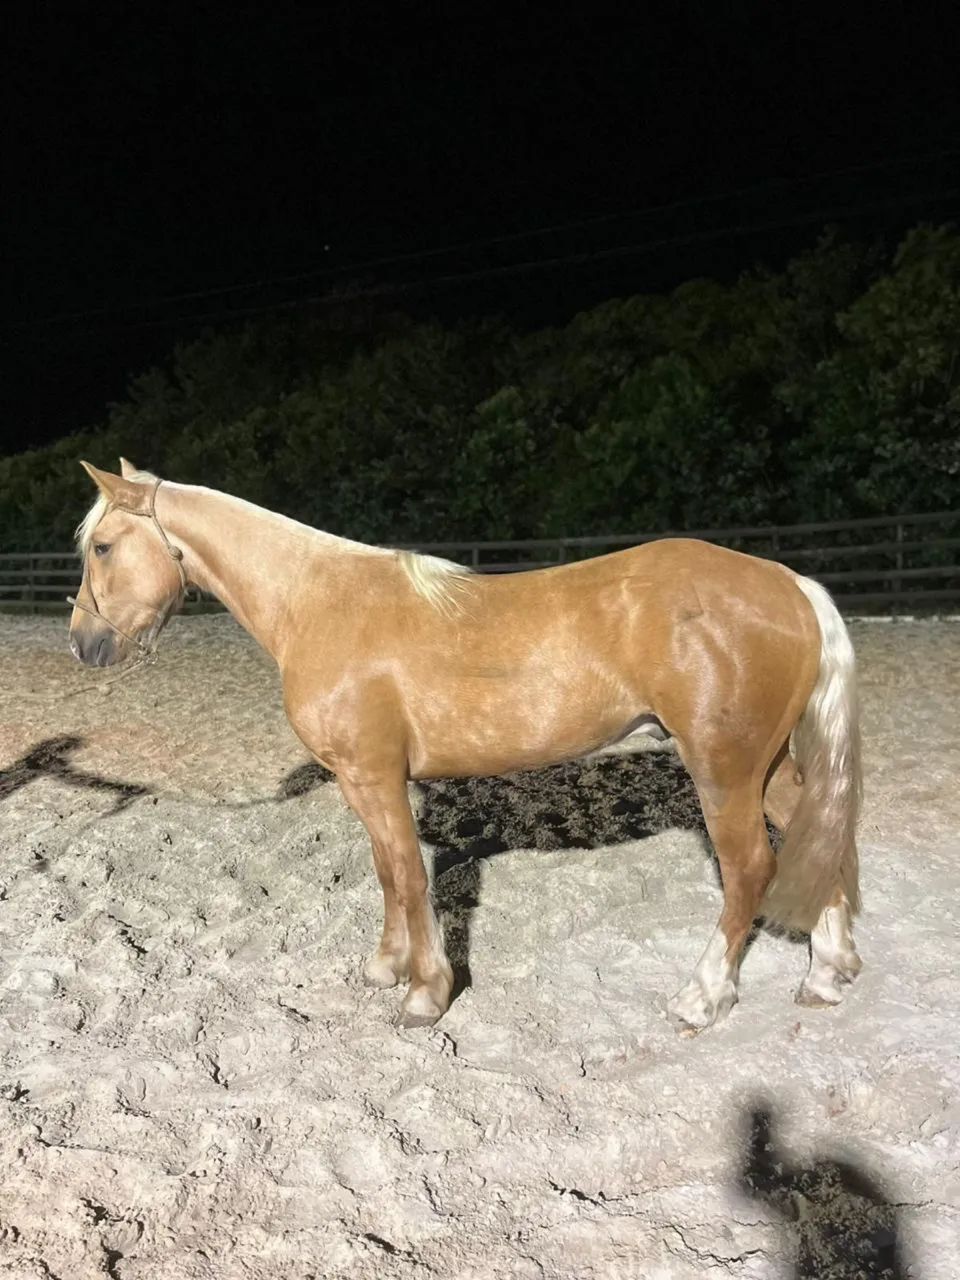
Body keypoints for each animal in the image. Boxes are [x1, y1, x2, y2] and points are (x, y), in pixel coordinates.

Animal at [68, 460, 863, 1033]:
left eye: (102, 547)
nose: (83, 645)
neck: (320, 602)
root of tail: (788, 583)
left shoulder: (374, 776)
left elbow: (409, 876)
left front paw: (425, 995)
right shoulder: (365, 782)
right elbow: (387, 874)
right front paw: (387, 968)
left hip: (724, 771)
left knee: (751, 870)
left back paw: (702, 998)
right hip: (771, 771)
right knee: (819, 843)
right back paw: (825, 976)